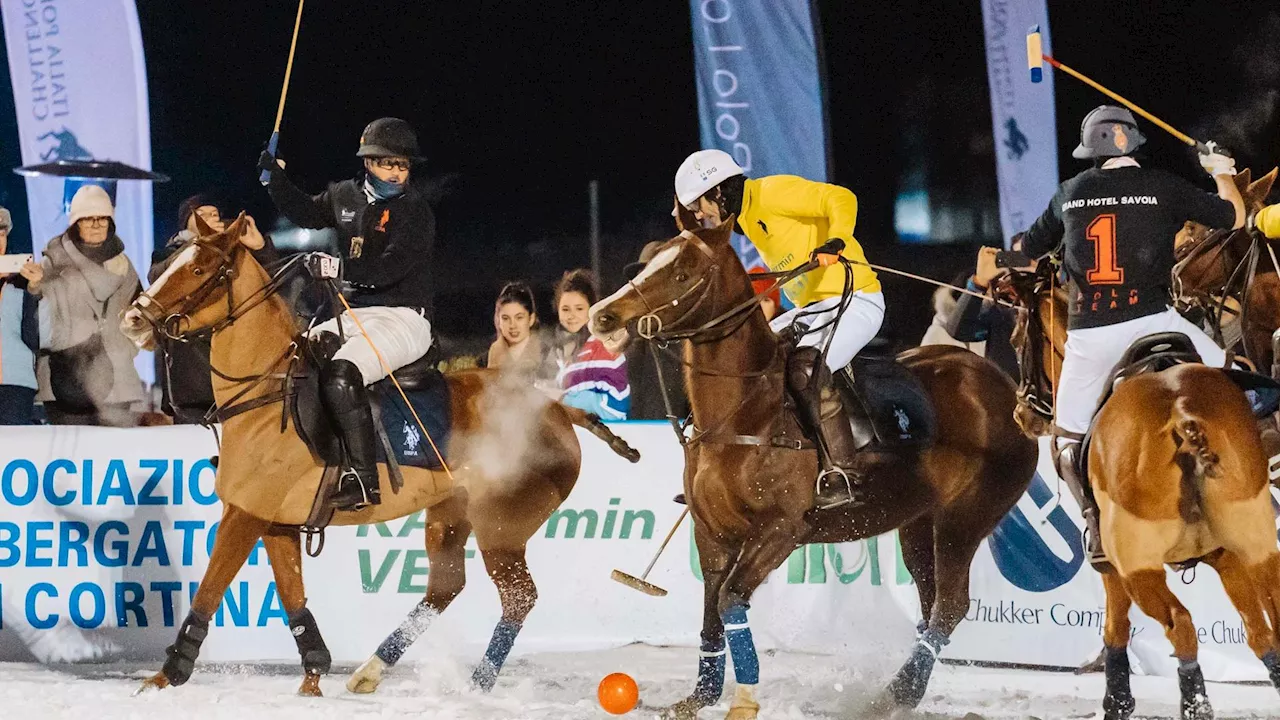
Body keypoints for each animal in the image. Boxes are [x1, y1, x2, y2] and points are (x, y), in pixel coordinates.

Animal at [120, 212, 640, 696]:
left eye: (201, 268)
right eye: (171, 262)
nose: (133, 320)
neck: (269, 393)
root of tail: (555, 408)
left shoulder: (244, 515)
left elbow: (209, 589)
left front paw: (166, 676)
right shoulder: (274, 522)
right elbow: (292, 597)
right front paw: (314, 675)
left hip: (502, 526)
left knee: (517, 598)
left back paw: (477, 684)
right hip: (450, 514)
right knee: (446, 586)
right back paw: (371, 670)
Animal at [588, 219, 1039, 717]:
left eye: (684, 273)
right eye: (648, 260)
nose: (602, 316)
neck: (747, 412)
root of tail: (1010, 390)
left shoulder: (782, 529)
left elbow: (730, 600)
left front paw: (743, 701)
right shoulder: (711, 531)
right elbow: (710, 609)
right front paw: (699, 696)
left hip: (967, 517)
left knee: (951, 605)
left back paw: (891, 696)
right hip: (919, 520)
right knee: (931, 604)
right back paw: (905, 693)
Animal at [998, 265, 1280, 717]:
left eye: (1015, 339)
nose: (1022, 413)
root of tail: (1181, 411)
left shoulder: (1110, 561)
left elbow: (1115, 625)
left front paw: (1117, 699)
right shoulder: (1226, 556)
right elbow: (1258, 632)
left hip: (1139, 565)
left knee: (1180, 625)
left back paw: (1194, 704)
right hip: (1255, 544)